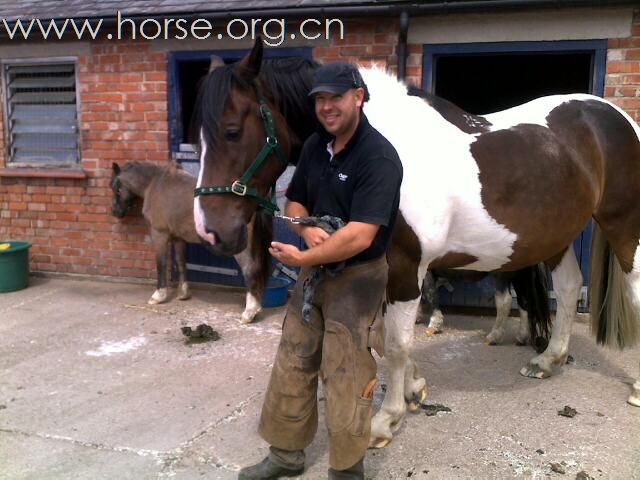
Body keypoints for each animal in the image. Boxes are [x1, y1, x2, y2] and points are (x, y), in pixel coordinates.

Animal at [110, 160, 270, 322]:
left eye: (116, 188)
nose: (115, 212)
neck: (155, 184)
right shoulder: (179, 238)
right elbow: (181, 262)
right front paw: (183, 294)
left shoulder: (159, 234)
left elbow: (161, 264)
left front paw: (158, 296)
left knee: (250, 269)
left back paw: (249, 312)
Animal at [190, 39, 640, 448]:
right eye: (197, 139)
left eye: (232, 131)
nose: (211, 231)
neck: (388, 148)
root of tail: (617, 118)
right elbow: (385, 340)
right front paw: (412, 389)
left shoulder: (407, 269)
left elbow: (396, 344)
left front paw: (385, 420)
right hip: (559, 234)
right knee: (567, 288)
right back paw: (548, 360)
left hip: (624, 226)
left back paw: (634, 387)